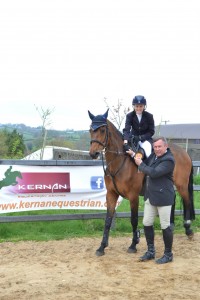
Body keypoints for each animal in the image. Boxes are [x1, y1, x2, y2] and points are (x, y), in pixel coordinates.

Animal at [88, 109, 195, 256]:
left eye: (103, 130)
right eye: (90, 130)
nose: (93, 153)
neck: (120, 161)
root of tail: (183, 152)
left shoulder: (133, 196)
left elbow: (133, 220)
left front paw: (133, 244)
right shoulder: (111, 194)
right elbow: (108, 220)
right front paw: (102, 246)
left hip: (182, 185)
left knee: (187, 201)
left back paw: (188, 229)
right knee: (171, 200)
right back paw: (171, 225)